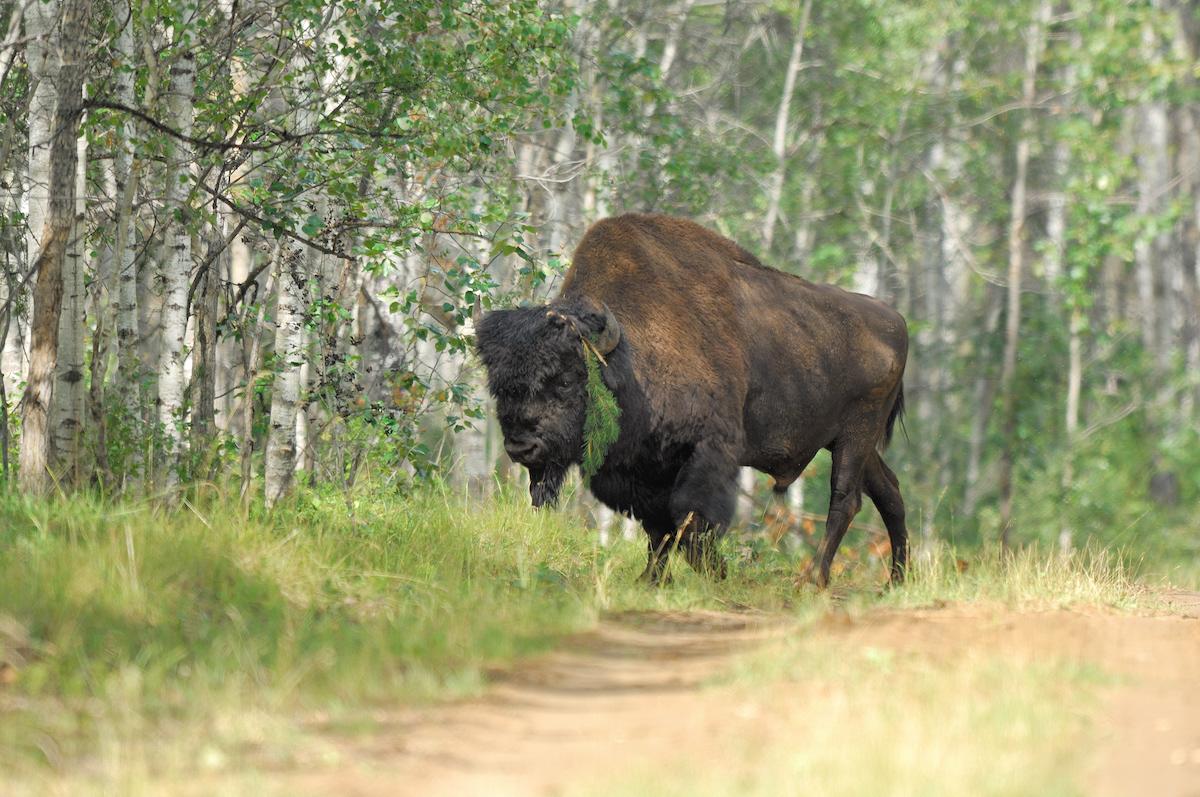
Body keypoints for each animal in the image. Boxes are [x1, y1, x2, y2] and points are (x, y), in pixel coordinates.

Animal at [472, 211, 902, 585]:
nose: (521, 446)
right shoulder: (643, 470)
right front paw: (651, 580)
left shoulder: (707, 451)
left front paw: (716, 573)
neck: (628, 354)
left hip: (855, 434)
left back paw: (814, 581)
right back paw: (895, 580)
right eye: (499, 385)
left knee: (845, 499)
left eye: (564, 380)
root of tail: (894, 320)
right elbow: (658, 526)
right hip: (849, 441)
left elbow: (687, 515)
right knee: (888, 489)